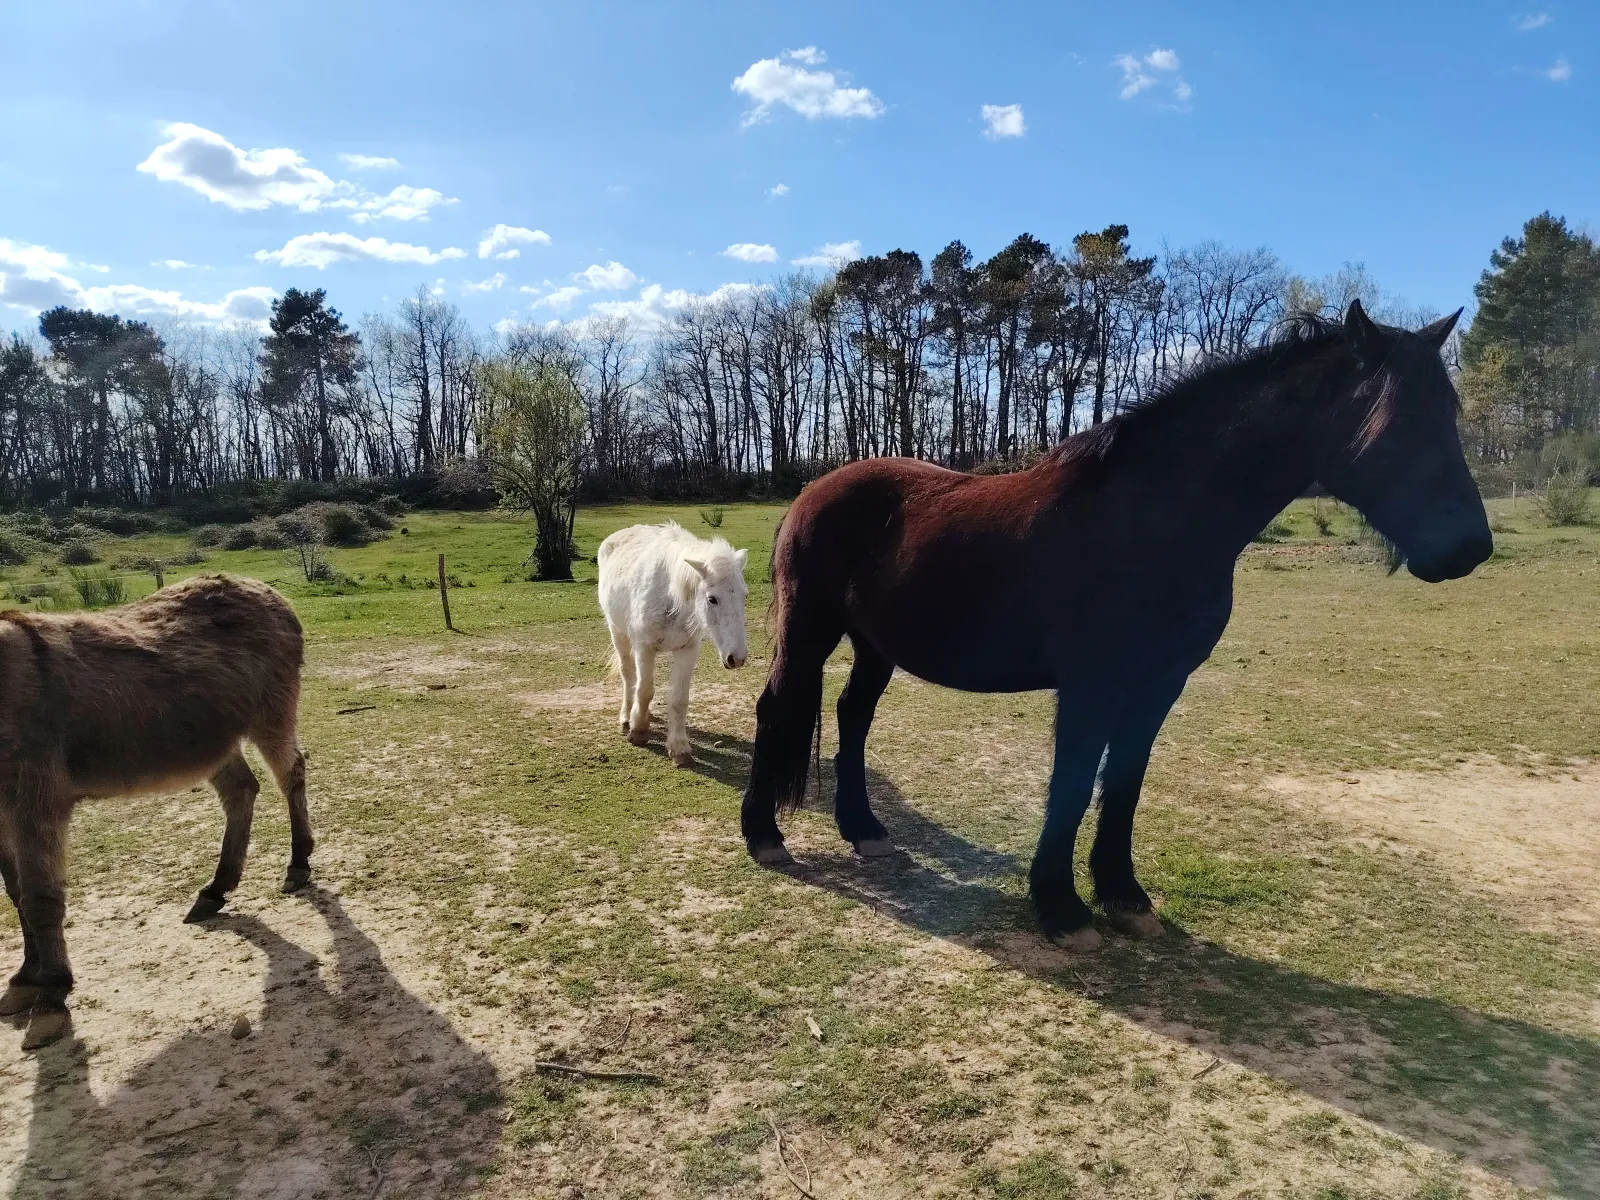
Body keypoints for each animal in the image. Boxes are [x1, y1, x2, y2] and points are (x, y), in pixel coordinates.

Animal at [0, 573, 312, 1050]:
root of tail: (261, 586)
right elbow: (15, 894)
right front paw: (23, 980)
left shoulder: (34, 797)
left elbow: (38, 898)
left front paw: (51, 996)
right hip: (211, 737)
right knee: (241, 789)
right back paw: (215, 890)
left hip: (271, 712)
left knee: (291, 774)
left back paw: (298, 864)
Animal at [598, 522, 750, 766]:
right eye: (712, 599)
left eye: (744, 596)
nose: (737, 657)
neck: (671, 597)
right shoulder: (644, 647)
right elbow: (644, 690)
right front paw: (638, 731)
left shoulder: (687, 651)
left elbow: (679, 700)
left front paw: (679, 749)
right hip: (618, 634)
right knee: (629, 676)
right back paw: (626, 718)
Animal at [740, 301, 1490, 950]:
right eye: (1399, 418)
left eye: (1450, 412)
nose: (1469, 549)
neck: (1152, 520)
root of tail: (815, 490)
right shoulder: (1092, 686)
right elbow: (1073, 784)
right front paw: (1060, 908)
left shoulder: (1159, 685)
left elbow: (1123, 784)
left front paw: (1123, 895)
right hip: (809, 630)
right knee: (777, 709)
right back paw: (764, 835)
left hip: (875, 644)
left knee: (852, 715)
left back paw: (863, 828)